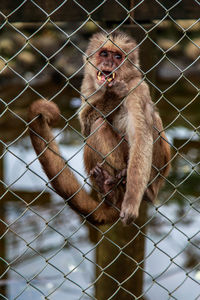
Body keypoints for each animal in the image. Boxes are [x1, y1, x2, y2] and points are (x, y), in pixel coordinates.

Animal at [28, 30, 170, 226]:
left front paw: (131, 203)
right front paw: (111, 97)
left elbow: (141, 138)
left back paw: (131, 192)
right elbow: (85, 127)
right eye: (104, 54)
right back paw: (108, 191)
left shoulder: (136, 87)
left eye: (117, 57)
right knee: (98, 125)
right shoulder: (87, 83)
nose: (108, 63)